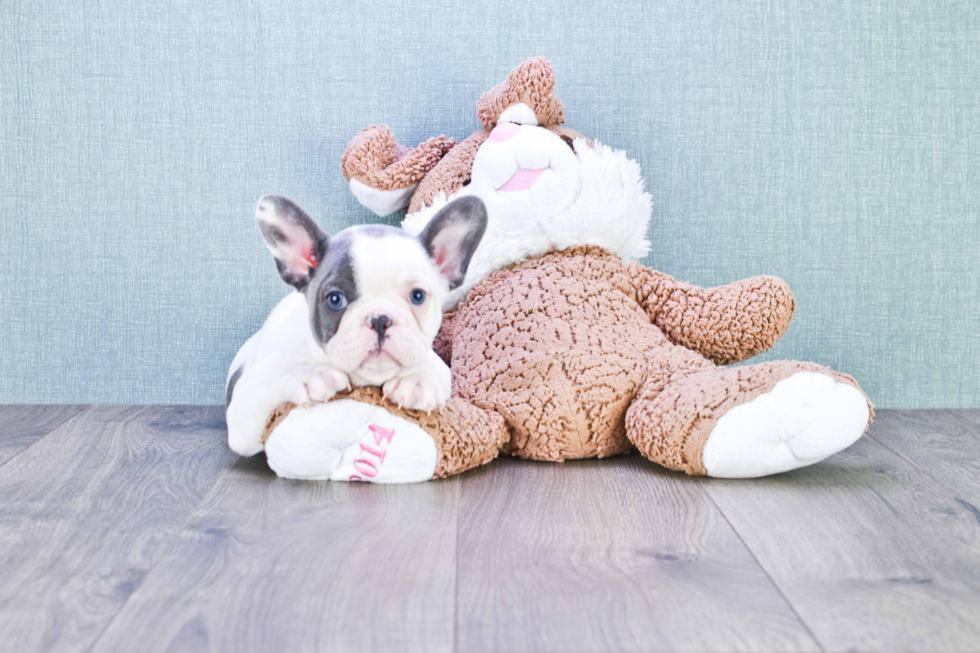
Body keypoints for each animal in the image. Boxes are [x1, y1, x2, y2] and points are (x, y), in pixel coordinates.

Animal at [230, 196, 490, 456]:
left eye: (418, 296)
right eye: (335, 299)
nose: (380, 319)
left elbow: (434, 366)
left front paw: (416, 381)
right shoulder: (242, 411)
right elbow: (272, 379)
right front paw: (312, 375)